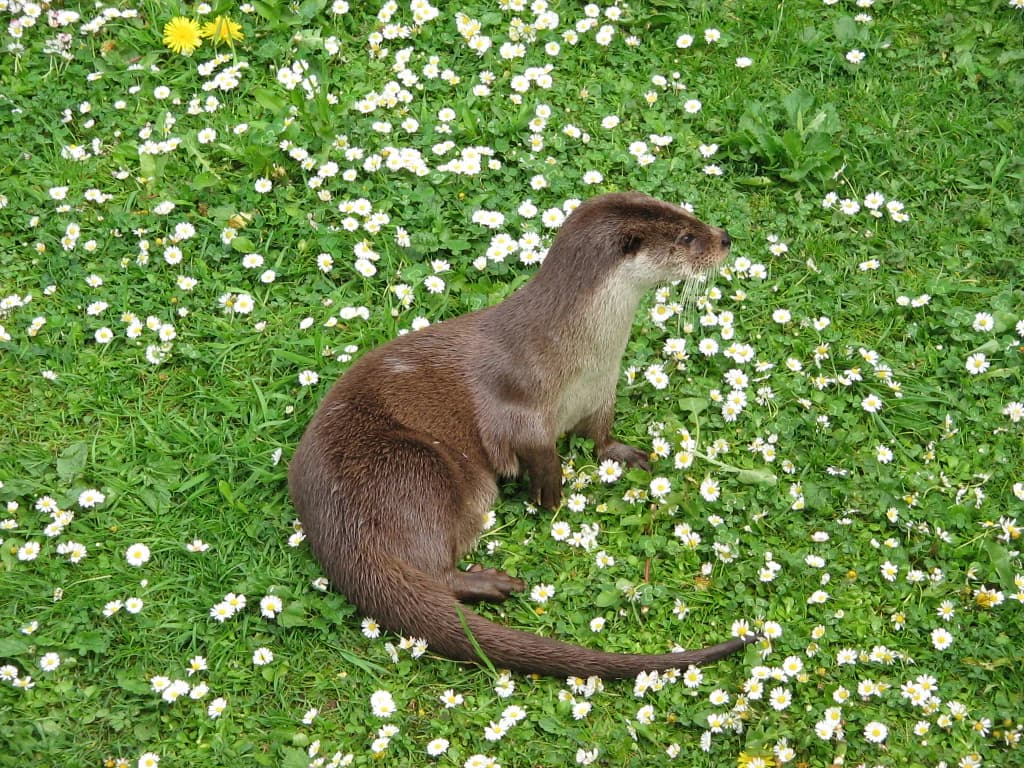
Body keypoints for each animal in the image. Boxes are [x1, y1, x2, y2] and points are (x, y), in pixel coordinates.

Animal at [289, 191, 756, 678]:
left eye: (687, 214)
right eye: (686, 238)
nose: (724, 238)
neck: (580, 353)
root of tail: (335, 528)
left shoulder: (601, 391)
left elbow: (601, 435)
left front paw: (624, 455)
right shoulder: (517, 401)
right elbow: (535, 449)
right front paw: (550, 491)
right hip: (415, 469)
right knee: (435, 570)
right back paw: (492, 582)